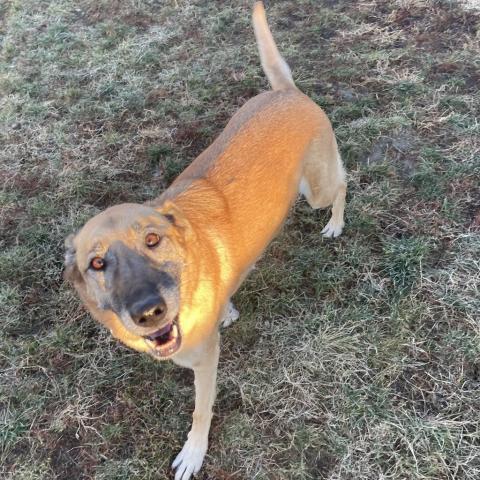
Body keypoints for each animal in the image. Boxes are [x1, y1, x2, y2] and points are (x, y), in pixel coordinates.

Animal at [65, 1, 346, 478]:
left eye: (153, 240)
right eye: (97, 263)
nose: (148, 312)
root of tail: (286, 92)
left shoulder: (204, 360)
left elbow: (200, 410)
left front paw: (194, 452)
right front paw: (227, 309)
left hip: (317, 190)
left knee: (344, 183)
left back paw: (337, 223)